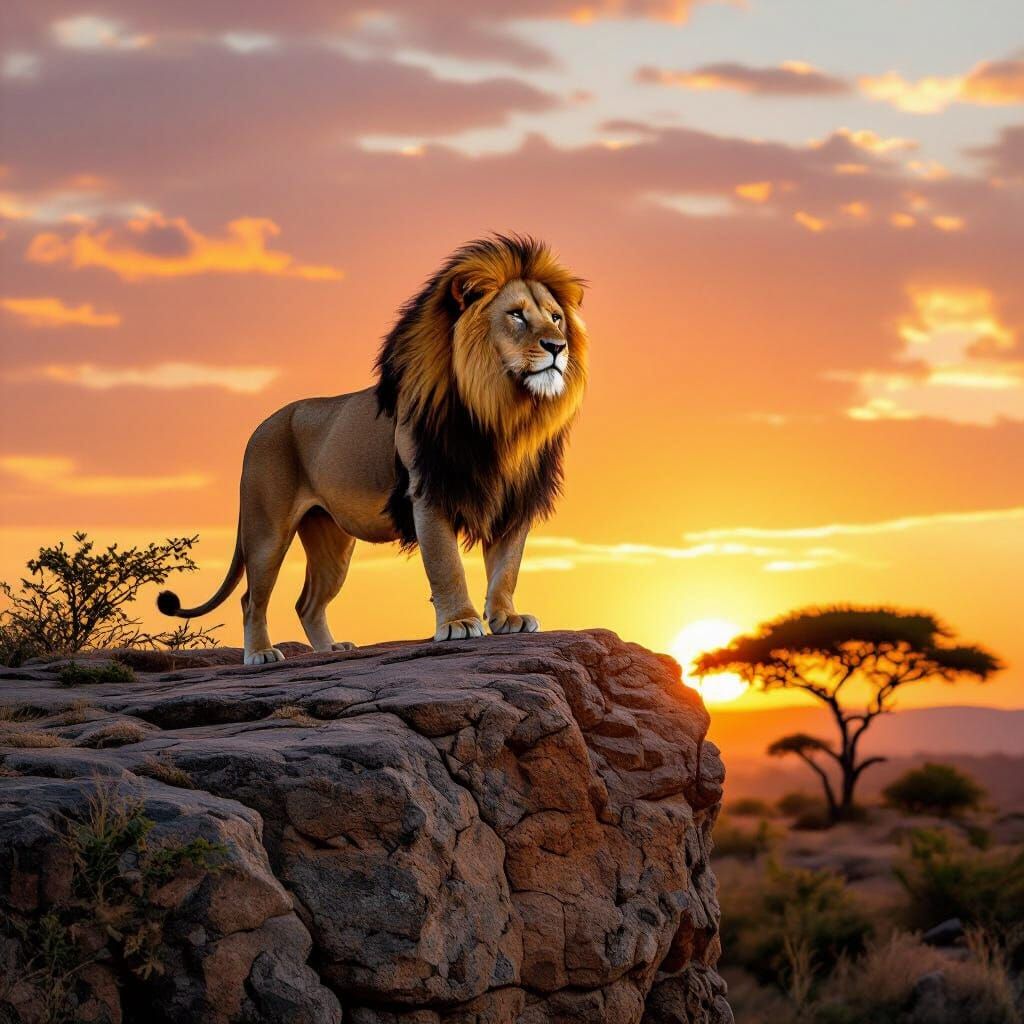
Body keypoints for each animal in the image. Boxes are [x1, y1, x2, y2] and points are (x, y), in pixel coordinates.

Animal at [157, 235, 588, 664]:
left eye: (556, 318)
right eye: (516, 316)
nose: (557, 346)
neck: (504, 412)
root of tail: (260, 426)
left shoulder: (515, 499)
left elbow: (506, 567)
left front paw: (507, 618)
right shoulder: (428, 493)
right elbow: (447, 564)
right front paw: (459, 623)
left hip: (330, 540)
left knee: (307, 602)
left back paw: (331, 649)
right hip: (266, 530)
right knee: (251, 598)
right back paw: (260, 653)